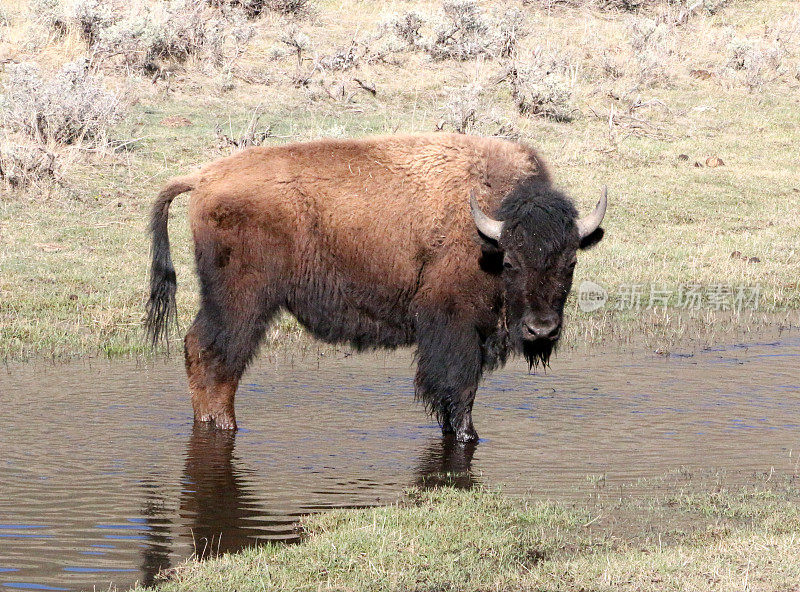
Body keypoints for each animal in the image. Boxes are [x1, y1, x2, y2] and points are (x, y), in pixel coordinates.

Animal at [145, 133, 608, 440]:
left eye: (571, 262)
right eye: (511, 262)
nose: (542, 329)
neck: (487, 232)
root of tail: (202, 178)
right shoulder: (453, 326)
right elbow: (459, 388)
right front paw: (466, 438)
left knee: (202, 351)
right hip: (243, 301)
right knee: (217, 355)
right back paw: (226, 426)